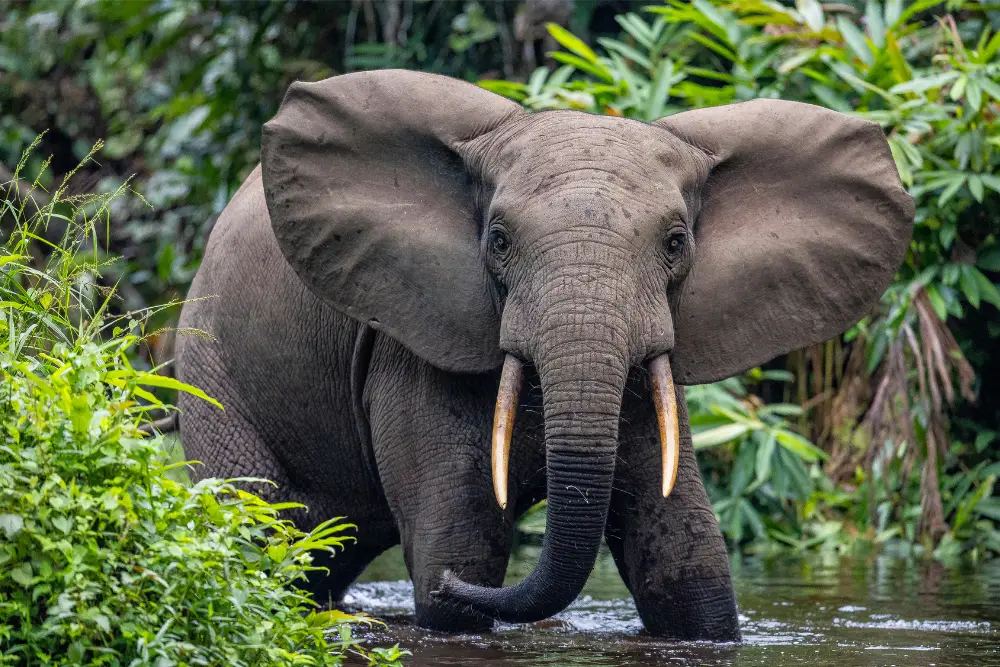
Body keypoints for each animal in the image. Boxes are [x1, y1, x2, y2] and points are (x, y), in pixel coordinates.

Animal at [174, 69, 913, 641]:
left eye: (676, 242)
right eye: (498, 240)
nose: (441, 583)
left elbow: (687, 563)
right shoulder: (412, 340)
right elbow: (464, 543)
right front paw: (454, 585)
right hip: (210, 372)